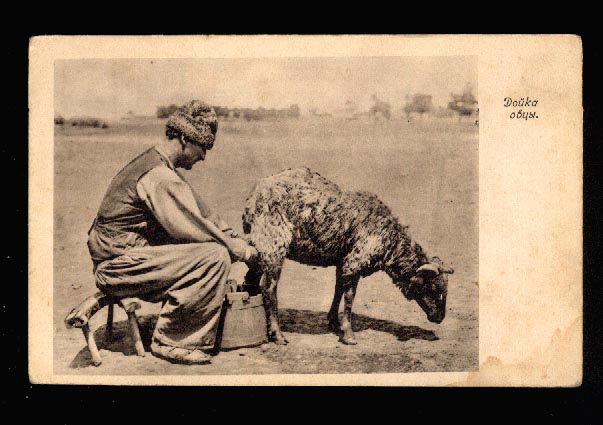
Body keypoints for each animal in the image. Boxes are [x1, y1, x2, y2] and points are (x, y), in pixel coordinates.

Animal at [241, 166, 452, 344]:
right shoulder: (355, 261)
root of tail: (253, 195)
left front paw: (334, 322)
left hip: (259, 247)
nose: (440, 318)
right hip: (274, 243)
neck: (389, 242)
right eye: (433, 288)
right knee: (269, 287)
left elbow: (338, 289)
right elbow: (350, 296)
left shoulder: (343, 261)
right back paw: (277, 334)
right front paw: (349, 334)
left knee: (251, 281)